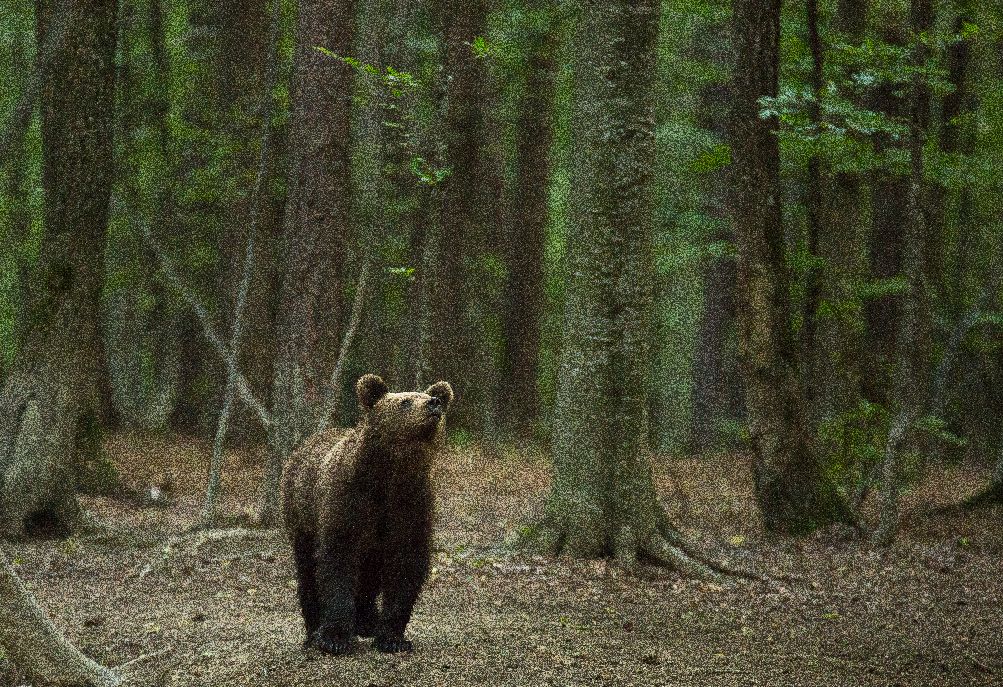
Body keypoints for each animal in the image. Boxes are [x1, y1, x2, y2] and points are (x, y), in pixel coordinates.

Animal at [282, 373, 455, 649]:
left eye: (429, 395)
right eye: (405, 401)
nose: (434, 403)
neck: (388, 476)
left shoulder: (410, 505)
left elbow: (406, 565)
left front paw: (392, 637)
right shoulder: (348, 500)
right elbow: (337, 561)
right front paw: (334, 637)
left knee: (370, 573)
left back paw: (367, 621)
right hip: (302, 516)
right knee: (307, 568)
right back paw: (313, 629)